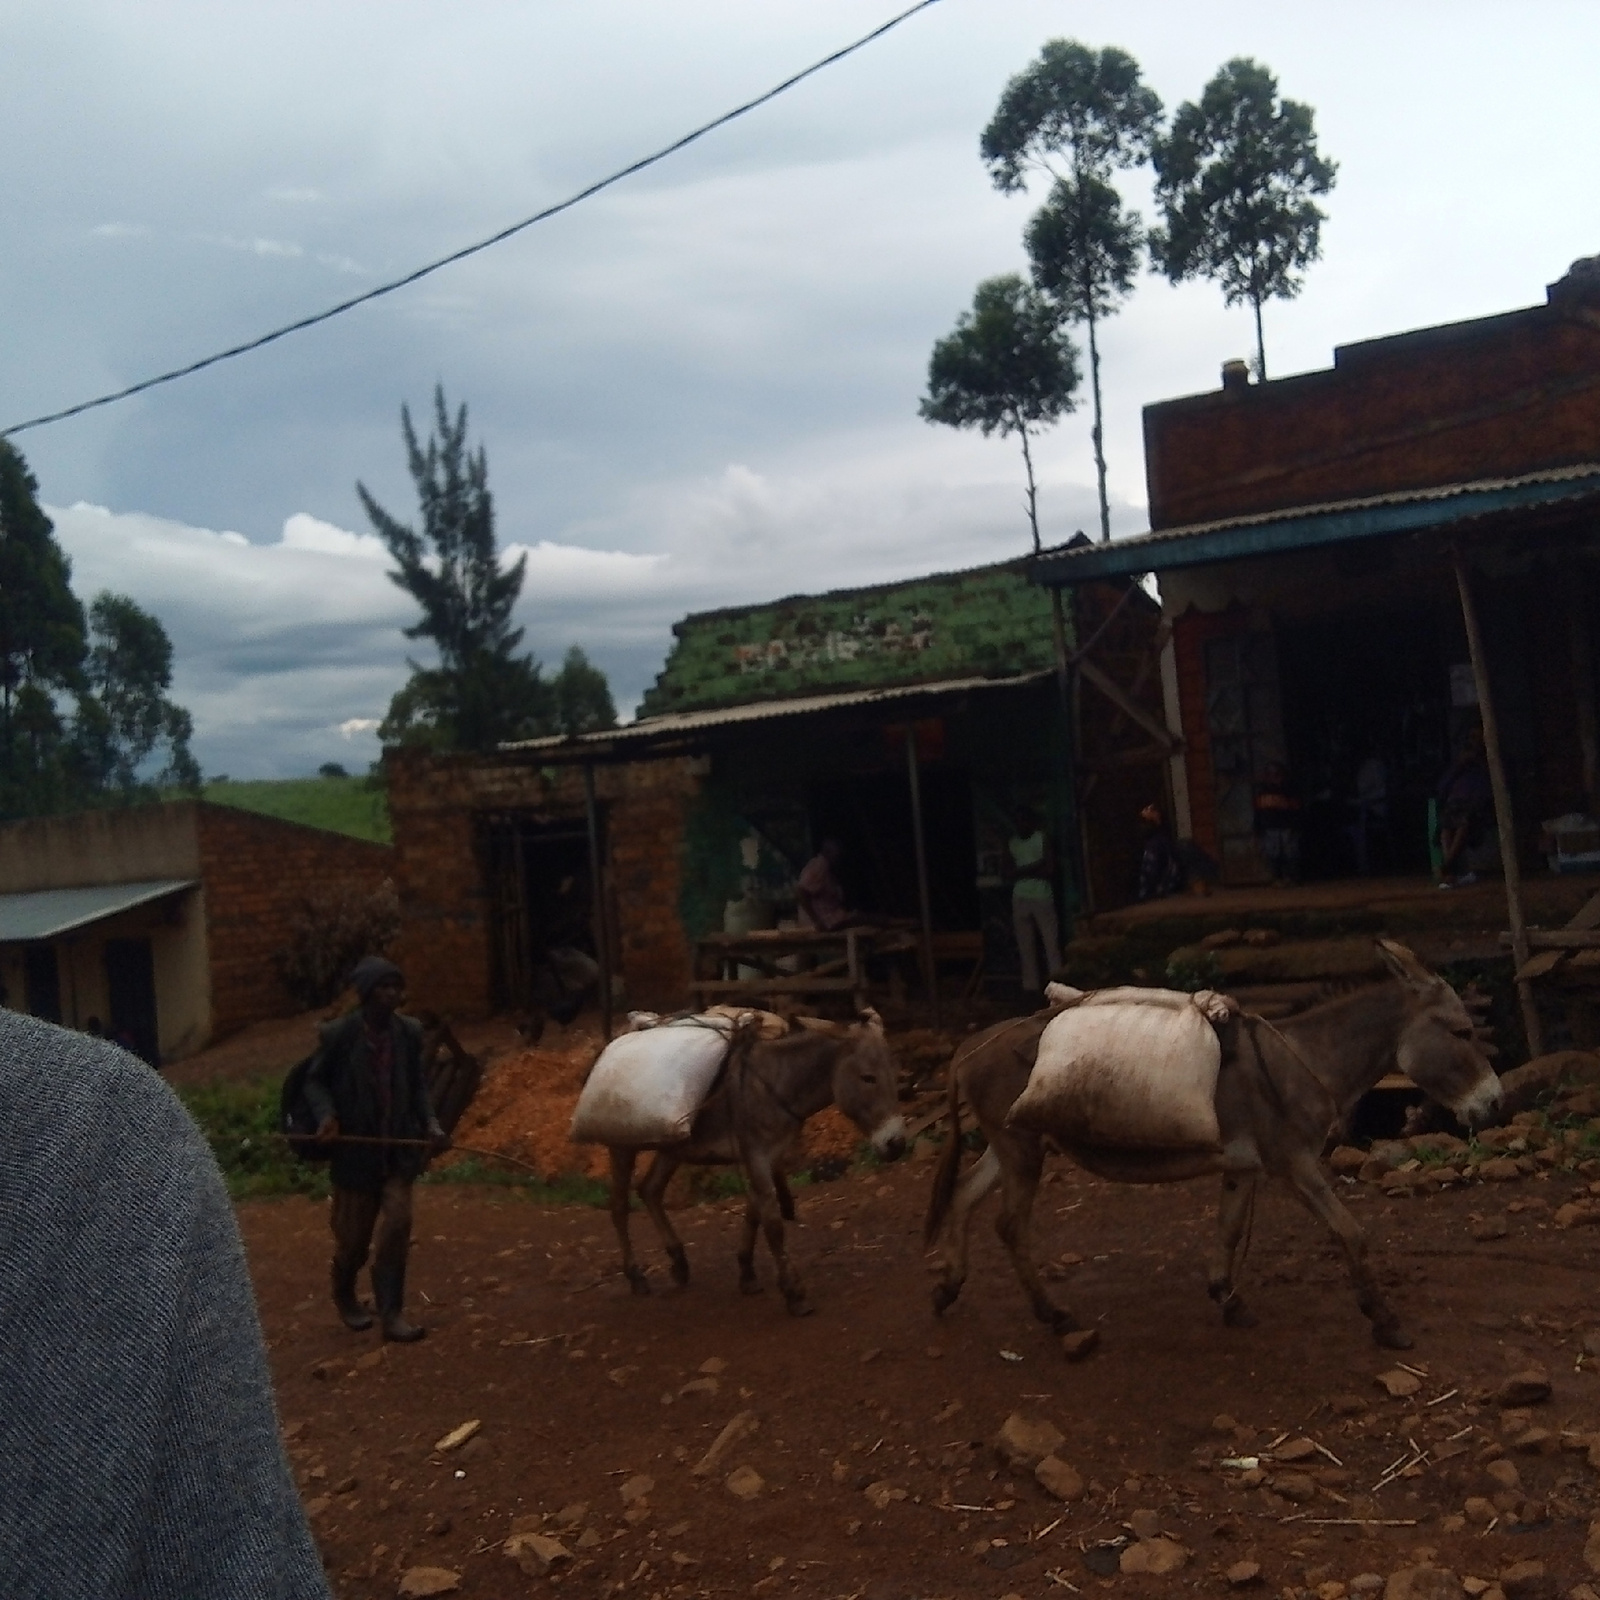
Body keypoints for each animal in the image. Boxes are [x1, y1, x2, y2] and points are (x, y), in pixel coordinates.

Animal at [605, 1011, 907, 1315]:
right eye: (868, 1077)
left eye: (894, 1074)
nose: (897, 1145)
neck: (777, 1083)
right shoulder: (756, 1154)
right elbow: (772, 1223)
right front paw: (794, 1293)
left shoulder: (770, 1154)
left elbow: (754, 1214)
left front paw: (747, 1273)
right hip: (622, 1146)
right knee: (619, 1207)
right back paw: (636, 1277)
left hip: (673, 1147)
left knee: (650, 1190)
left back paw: (679, 1263)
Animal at [925, 940, 1502, 1350]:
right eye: (1463, 1031)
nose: (1495, 1103)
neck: (1306, 1057)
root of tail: (970, 1046)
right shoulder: (1292, 1162)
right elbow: (1350, 1232)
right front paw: (1384, 1321)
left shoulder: (1243, 1166)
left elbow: (1228, 1230)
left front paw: (1228, 1299)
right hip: (1021, 1148)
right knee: (1009, 1225)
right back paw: (1054, 1314)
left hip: (1010, 1144)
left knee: (963, 1194)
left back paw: (949, 1287)